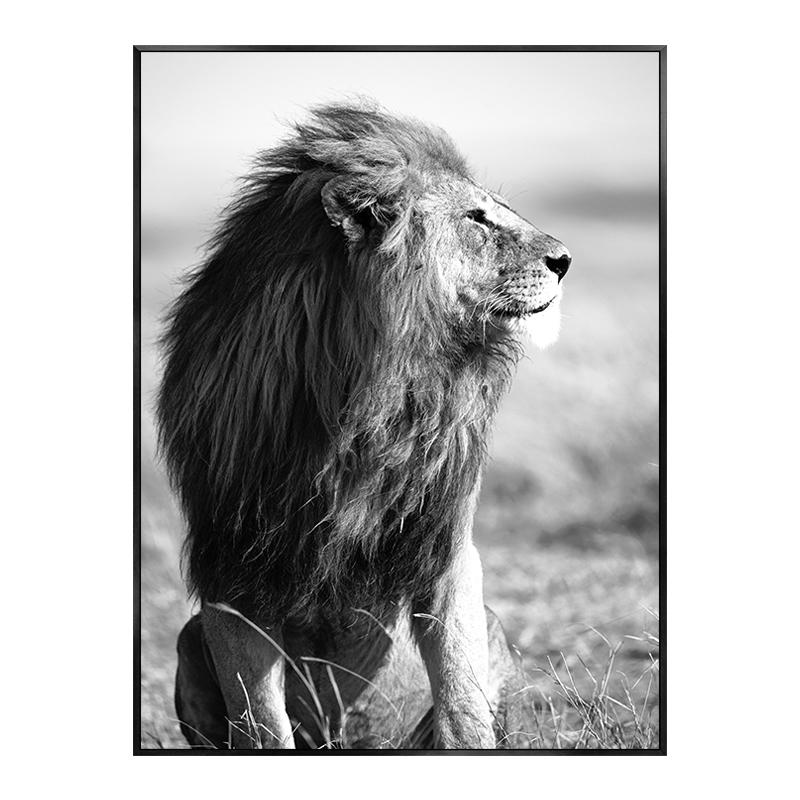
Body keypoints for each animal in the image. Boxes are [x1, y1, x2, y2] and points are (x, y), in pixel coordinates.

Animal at [158, 101, 571, 749]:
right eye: (476, 217)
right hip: (187, 637)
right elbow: (262, 723)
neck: (371, 397)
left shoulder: (445, 546)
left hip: (494, 627)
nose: (565, 260)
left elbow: (462, 700)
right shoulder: (230, 569)